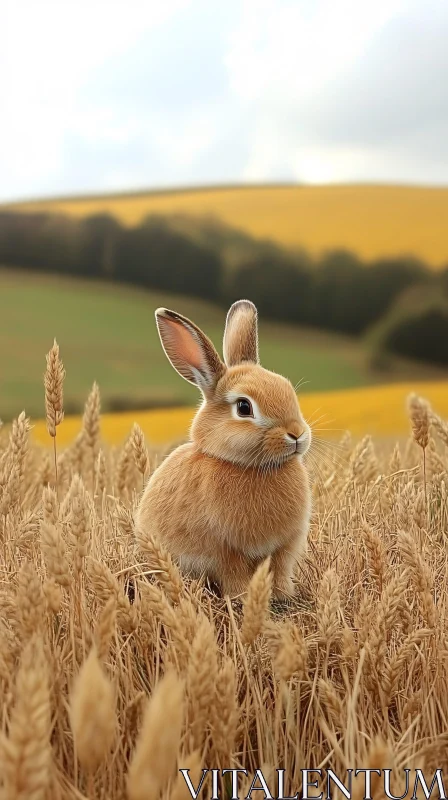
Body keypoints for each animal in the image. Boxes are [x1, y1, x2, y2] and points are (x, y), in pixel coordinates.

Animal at [134, 300, 312, 600]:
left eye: (288, 389)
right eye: (244, 407)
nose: (297, 434)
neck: (250, 467)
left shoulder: (284, 547)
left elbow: (279, 569)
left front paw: (283, 594)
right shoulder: (224, 551)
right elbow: (234, 575)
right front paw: (242, 598)